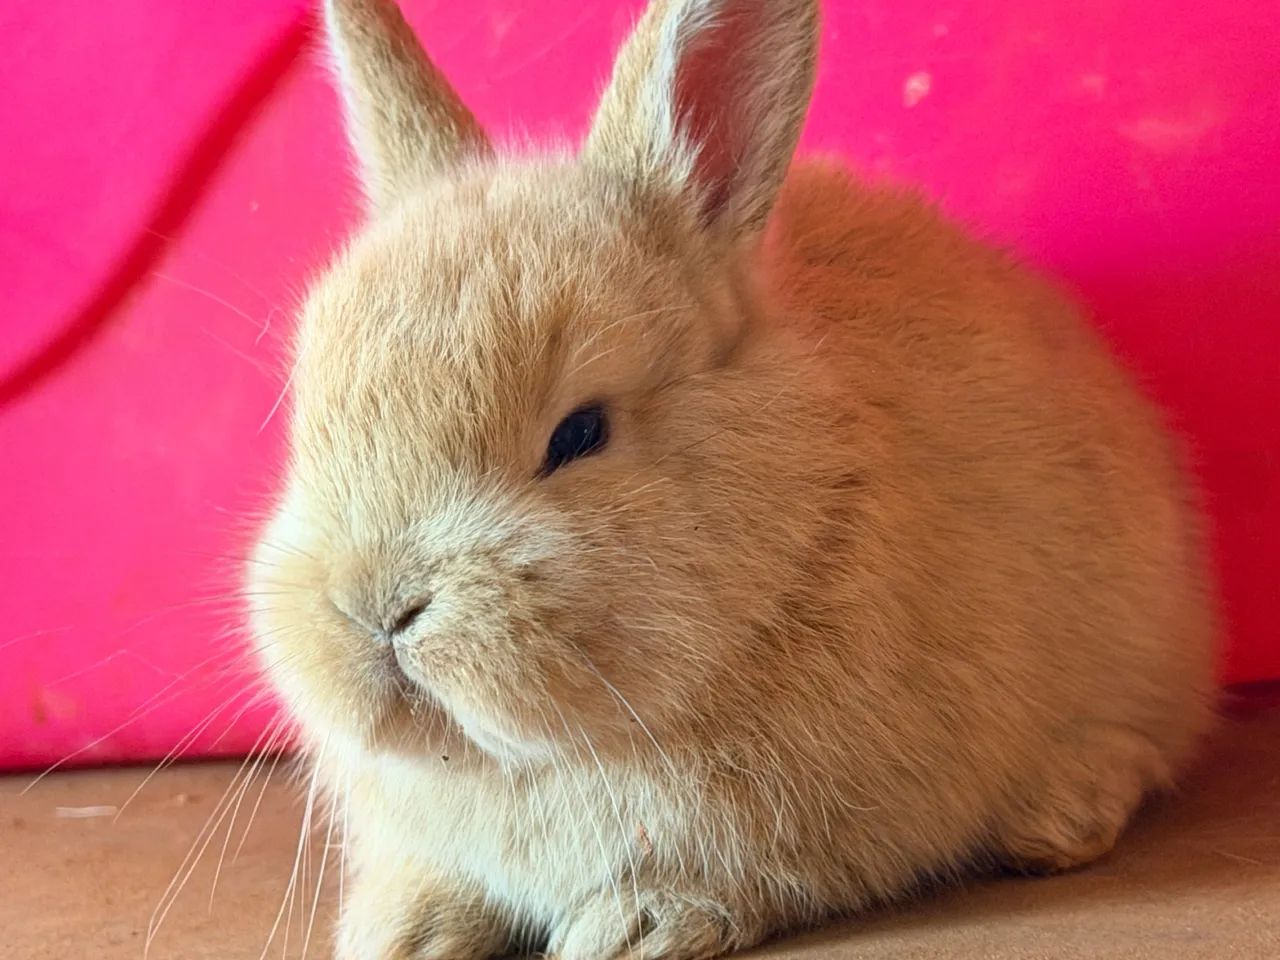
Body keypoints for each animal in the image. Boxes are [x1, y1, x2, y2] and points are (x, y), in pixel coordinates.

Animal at [245, 0, 1219, 957]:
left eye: (580, 433)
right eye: (310, 416)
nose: (374, 608)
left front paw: (635, 925)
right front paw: (395, 931)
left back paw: (1059, 814)